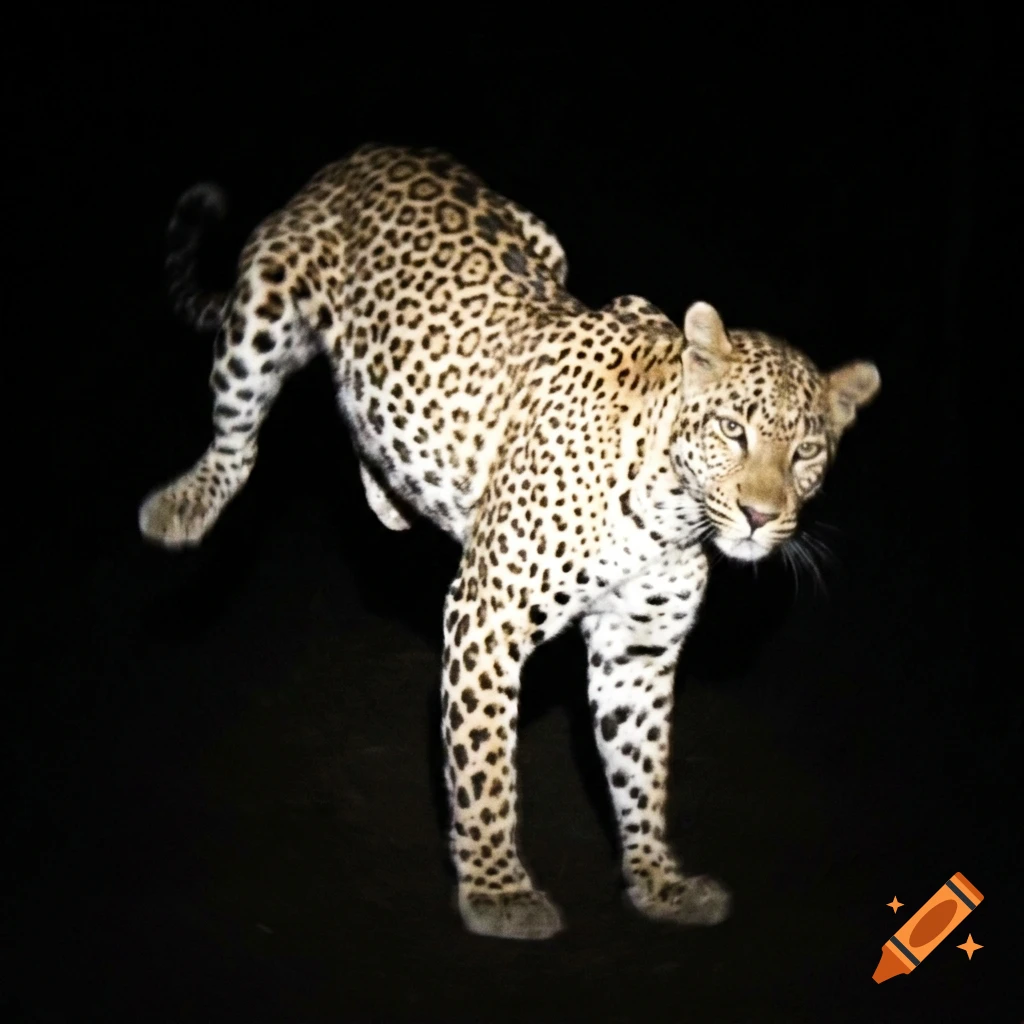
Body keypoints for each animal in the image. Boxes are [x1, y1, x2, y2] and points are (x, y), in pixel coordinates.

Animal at [139, 143, 881, 941]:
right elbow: (485, 763)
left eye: (806, 453)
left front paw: (657, 879)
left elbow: (641, 769)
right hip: (264, 308)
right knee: (238, 431)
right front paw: (497, 890)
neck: (670, 515)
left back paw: (393, 493)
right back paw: (185, 505)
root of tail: (374, 152)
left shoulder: (638, 650)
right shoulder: (487, 617)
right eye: (732, 430)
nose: (756, 515)